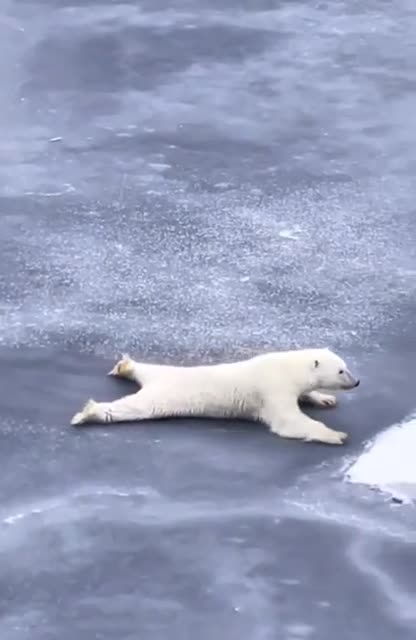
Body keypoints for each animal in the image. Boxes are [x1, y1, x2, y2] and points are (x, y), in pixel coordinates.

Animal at [70, 348, 360, 445]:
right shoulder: (272, 388)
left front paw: (324, 398)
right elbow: (288, 422)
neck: (287, 367)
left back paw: (126, 366)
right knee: (133, 408)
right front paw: (336, 434)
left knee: (147, 368)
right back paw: (89, 412)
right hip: (163, 396)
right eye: (341, 370)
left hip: (164, 373)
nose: (357, 381)